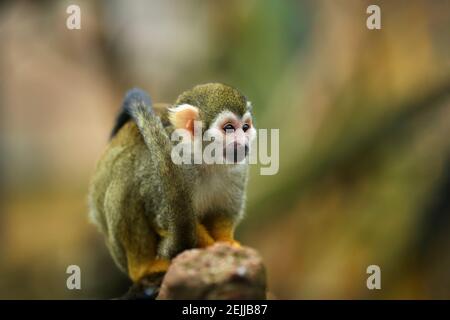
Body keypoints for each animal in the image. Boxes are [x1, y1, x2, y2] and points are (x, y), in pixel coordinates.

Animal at [89, 83, 256, 298]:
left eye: (245, 127)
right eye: (229, 128)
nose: (244, 143)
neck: (203, 159)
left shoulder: (238, 170)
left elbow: (223, 215)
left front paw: (227, 245)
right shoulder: (163, 168)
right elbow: (161, 219)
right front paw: (211, 249)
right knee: (125, 177)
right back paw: (142, 268)